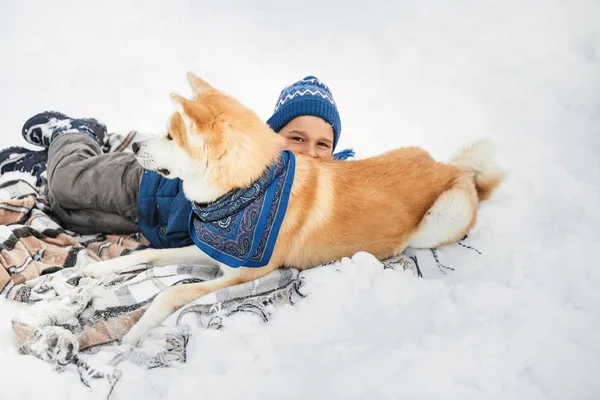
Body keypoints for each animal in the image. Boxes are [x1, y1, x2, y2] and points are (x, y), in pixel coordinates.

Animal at [82, 72, 506, 344]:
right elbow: (148, 255)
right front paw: (94, 272)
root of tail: (455, 170)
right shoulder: (209, 251)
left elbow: (168, 296)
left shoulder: (240, 275)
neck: (247, 190)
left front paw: (130, 341)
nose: (136, 146)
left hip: (442, 217)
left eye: (171, 136)